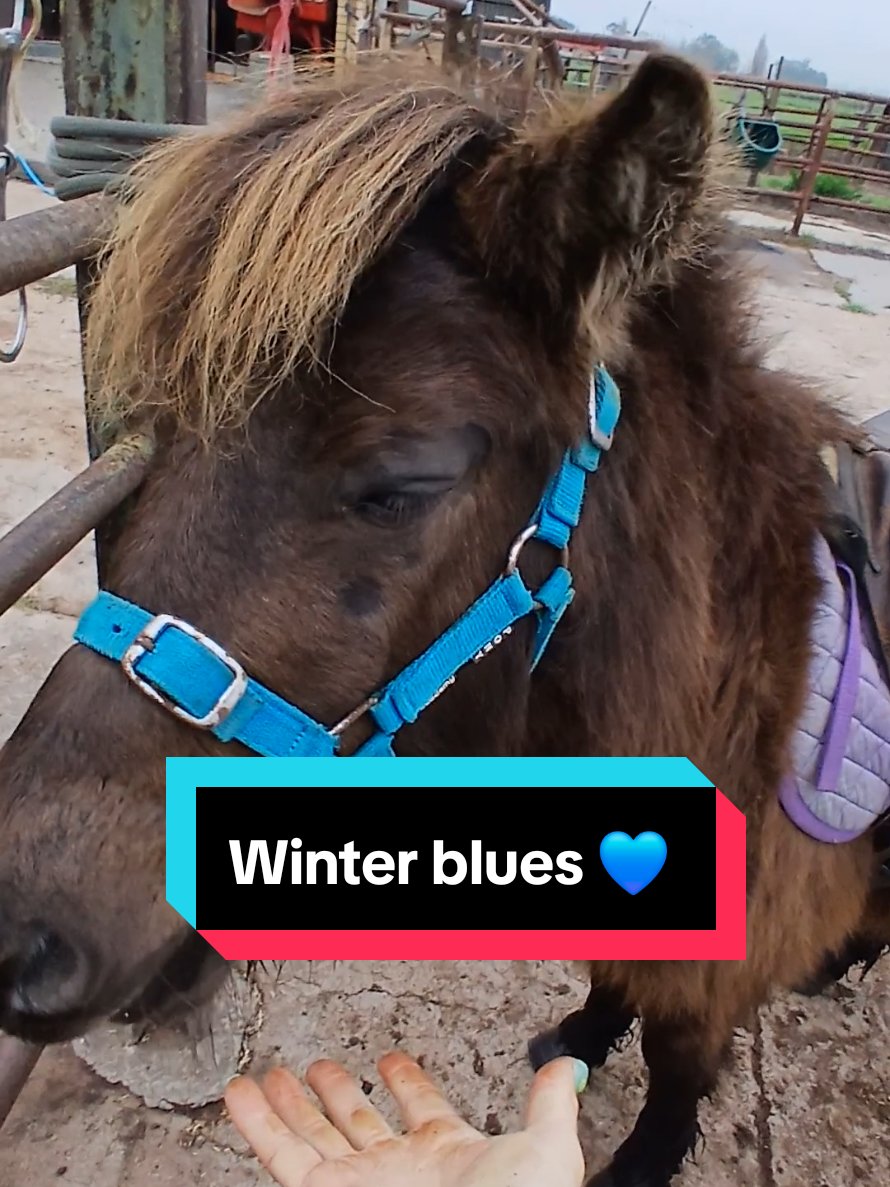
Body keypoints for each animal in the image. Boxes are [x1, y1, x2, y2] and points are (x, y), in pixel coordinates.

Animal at [1, 52, 888, 1187]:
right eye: (165, 435)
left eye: (403, 484)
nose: (19, 936)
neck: (736, 692)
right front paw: (581, 1038)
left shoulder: (716, 970)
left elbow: (679, 1063)